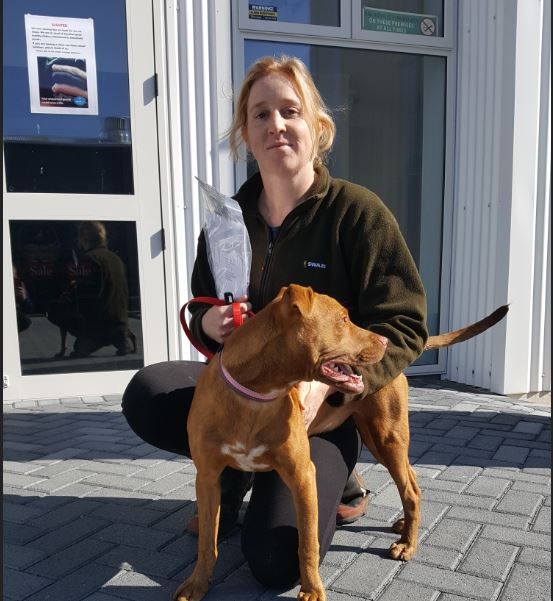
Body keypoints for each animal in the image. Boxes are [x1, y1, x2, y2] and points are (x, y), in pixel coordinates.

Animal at [174, 285, 508, 601]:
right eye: (343, 319)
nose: (385, 342)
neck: (254, 397)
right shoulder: (207, 478)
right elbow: (207, 541)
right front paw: (197, 584)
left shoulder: (302, 475)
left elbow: (307, 543)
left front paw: (312, 590)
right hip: (380, 439)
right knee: (412, 480)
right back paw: (404, 526)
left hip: (386, 436)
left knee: (410, 488)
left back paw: (407, 545)